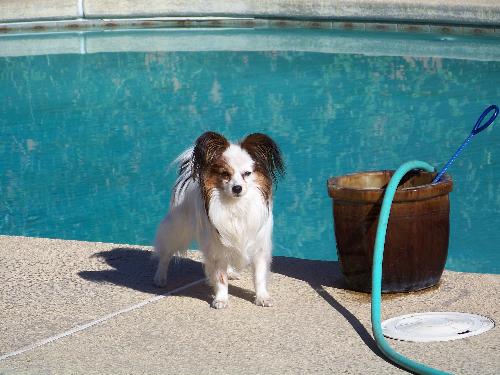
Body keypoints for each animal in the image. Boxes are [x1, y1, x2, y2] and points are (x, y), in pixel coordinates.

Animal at [152, 131, 286, 308]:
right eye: (225, 174)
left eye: (247, 173)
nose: (237, 188)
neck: (236, 206)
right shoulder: (217, 249)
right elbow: (220, 278)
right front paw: (221, 300)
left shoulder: (259, 246)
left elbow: (259, 276)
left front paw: (262, 297)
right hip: (178, 229)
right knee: (166, 254)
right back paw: (160, 278)